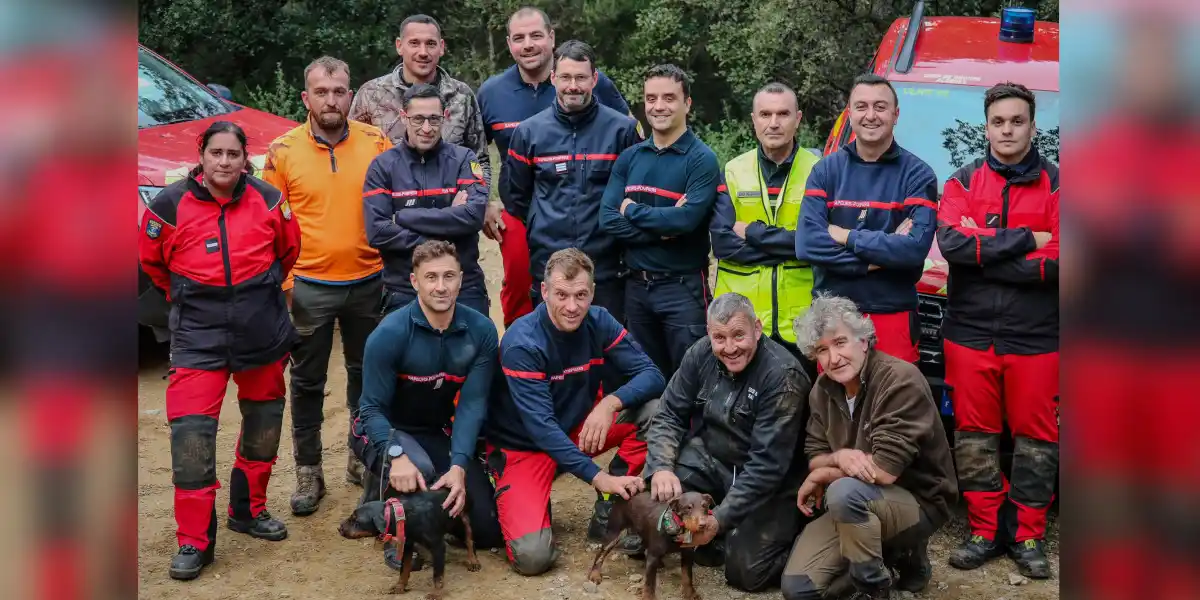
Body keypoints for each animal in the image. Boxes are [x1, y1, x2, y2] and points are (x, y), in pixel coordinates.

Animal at [336, 489, 480, 597]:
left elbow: (437, 575)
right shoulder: (407, 545)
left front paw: (436, 593)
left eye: (356, 521)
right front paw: (399, 587)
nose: (339, 528)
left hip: (457, 523)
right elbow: (404, 569)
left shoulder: (437, 546)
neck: (402, 516)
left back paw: (473, 561)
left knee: (469, 539)